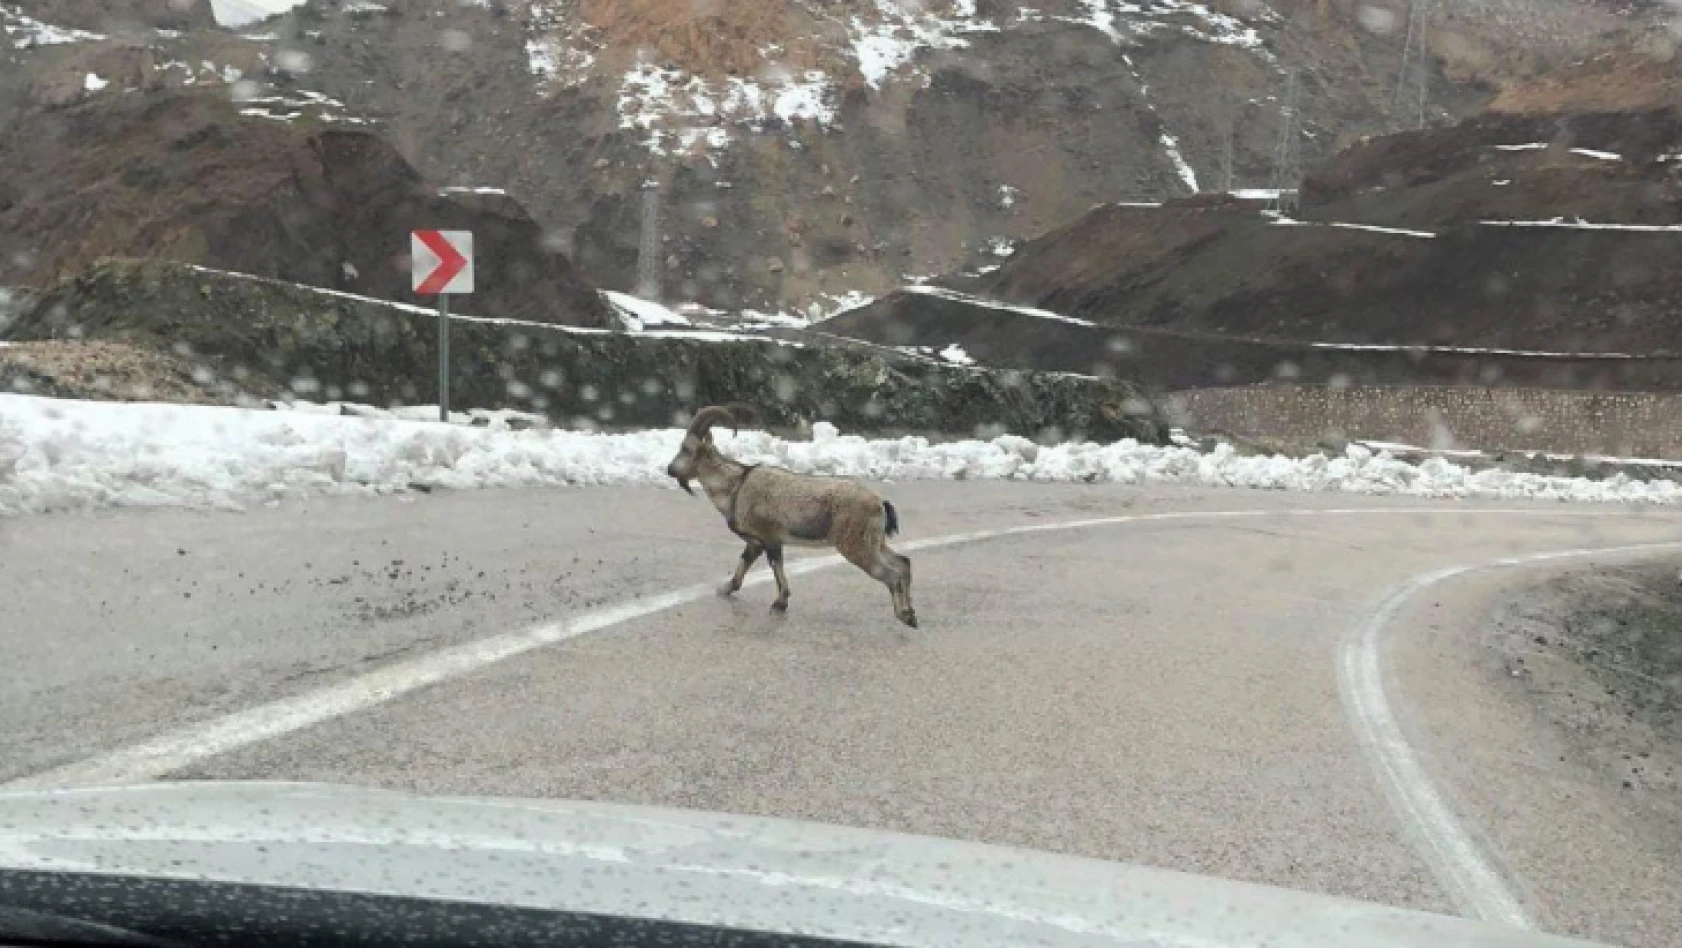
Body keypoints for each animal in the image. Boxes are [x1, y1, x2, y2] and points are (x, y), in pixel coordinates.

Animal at [662, 403, 915, 625]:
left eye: (685, 449)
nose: (669, 469)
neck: (736, 486)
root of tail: (880, 503)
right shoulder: (756, 542)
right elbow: (744, 563)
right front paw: (726, 589)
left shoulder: (770, 538)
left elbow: (776, 567)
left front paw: (779, 604)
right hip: (874, 543)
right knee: (903, 562)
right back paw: (911, 612)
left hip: (856, 546)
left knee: (891, 574)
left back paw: (905, 617)